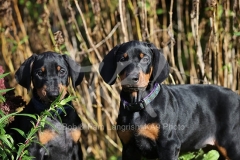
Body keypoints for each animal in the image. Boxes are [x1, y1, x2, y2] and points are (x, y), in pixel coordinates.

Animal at [98, 40, 240, 159]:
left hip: (231, 144)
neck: (138, 104)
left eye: (145, 59)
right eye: (122, 59)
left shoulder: (169, 144)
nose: (132, 78)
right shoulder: (128, 148)